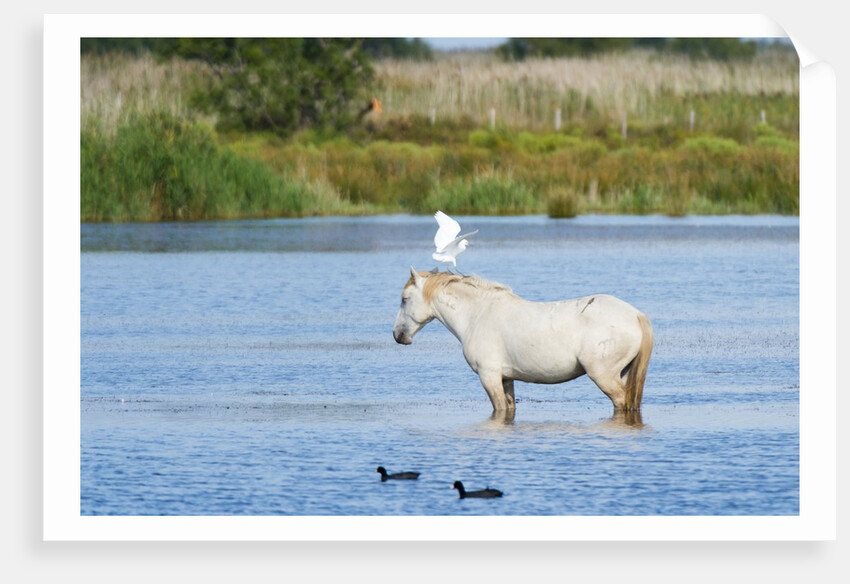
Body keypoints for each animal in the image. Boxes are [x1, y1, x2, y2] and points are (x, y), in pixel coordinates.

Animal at [393, 268, 653, 413]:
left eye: (404, 299)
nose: (398, 335)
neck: (477, 314)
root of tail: (635, 315)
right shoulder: (506, 378)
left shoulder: (489, 377)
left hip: (604, 375)